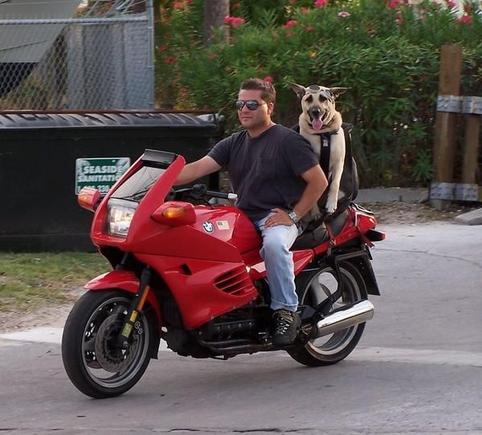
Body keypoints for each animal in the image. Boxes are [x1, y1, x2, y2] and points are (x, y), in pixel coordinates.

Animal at [290, 83, 346, 216]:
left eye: (323, 98)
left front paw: (331, 204)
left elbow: (335, 184)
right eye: (308, 99)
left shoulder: (339, 163)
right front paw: (315, 212)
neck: (322, 133)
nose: (316, 112)